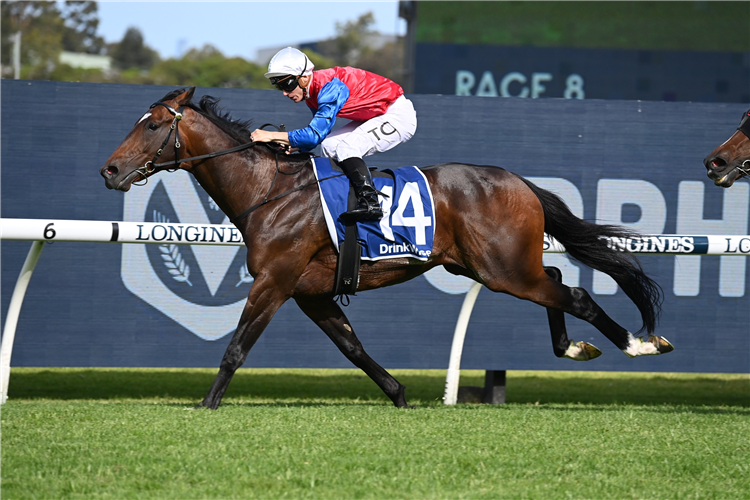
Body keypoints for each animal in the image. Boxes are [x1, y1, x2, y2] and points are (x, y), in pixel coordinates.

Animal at [101, 88, 676, 408]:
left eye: (154, 125)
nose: (109, 169)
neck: (270, 189)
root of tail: (519, 181)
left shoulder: (275, 281)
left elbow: (237, 348)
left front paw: (206, 405)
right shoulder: (311, 292)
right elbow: (352, 349)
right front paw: (399, 396)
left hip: (503, 269)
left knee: (573, 295)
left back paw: (637, 344)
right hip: (488, 267)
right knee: (556, 283)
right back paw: (576, 347)